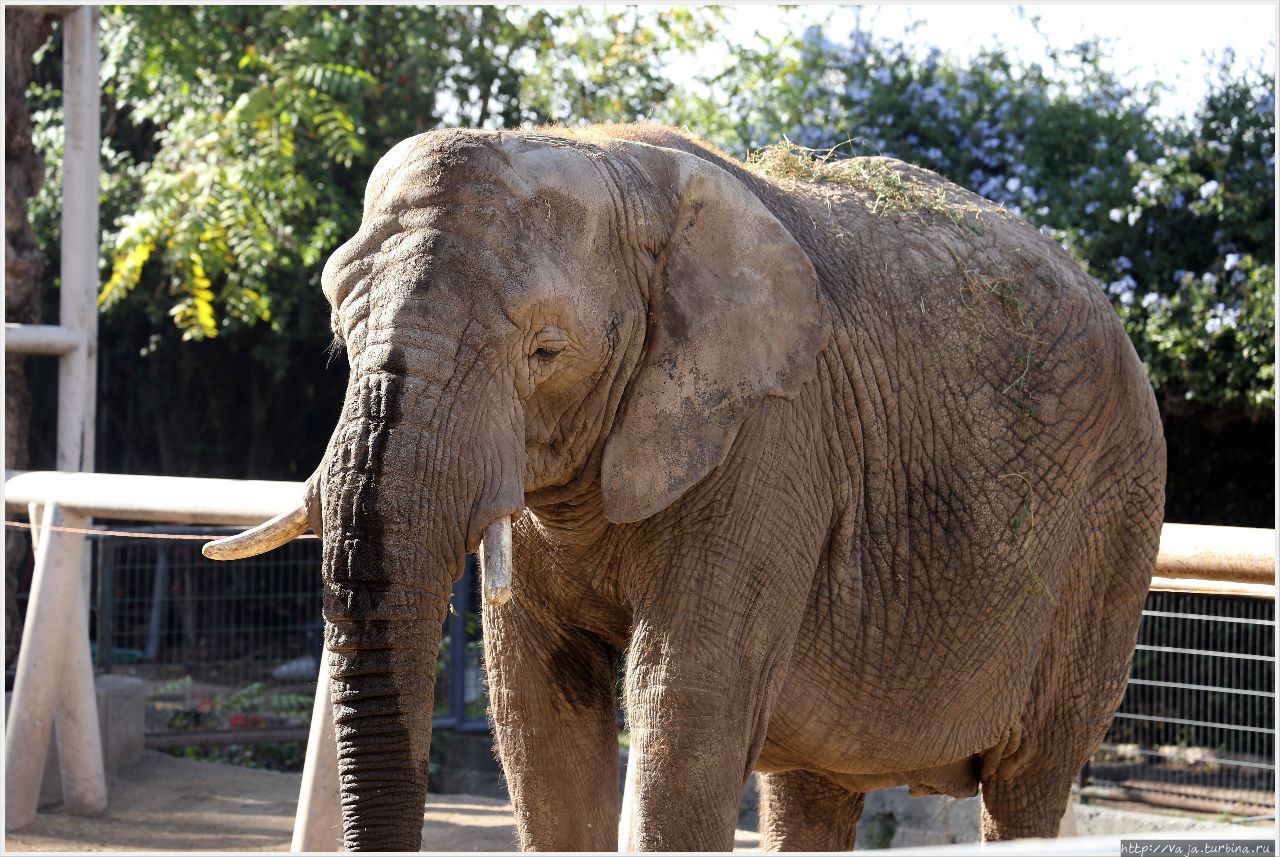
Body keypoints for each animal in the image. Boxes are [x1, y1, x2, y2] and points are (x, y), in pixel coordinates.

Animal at [204, 122, 1167, 854]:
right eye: (338, 325)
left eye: (545, 350)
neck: (612, 157)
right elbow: (538, 718)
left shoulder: (771, 438)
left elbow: (682, 713)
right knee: (812, 785)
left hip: (1113, 530)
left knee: (1028, 777)